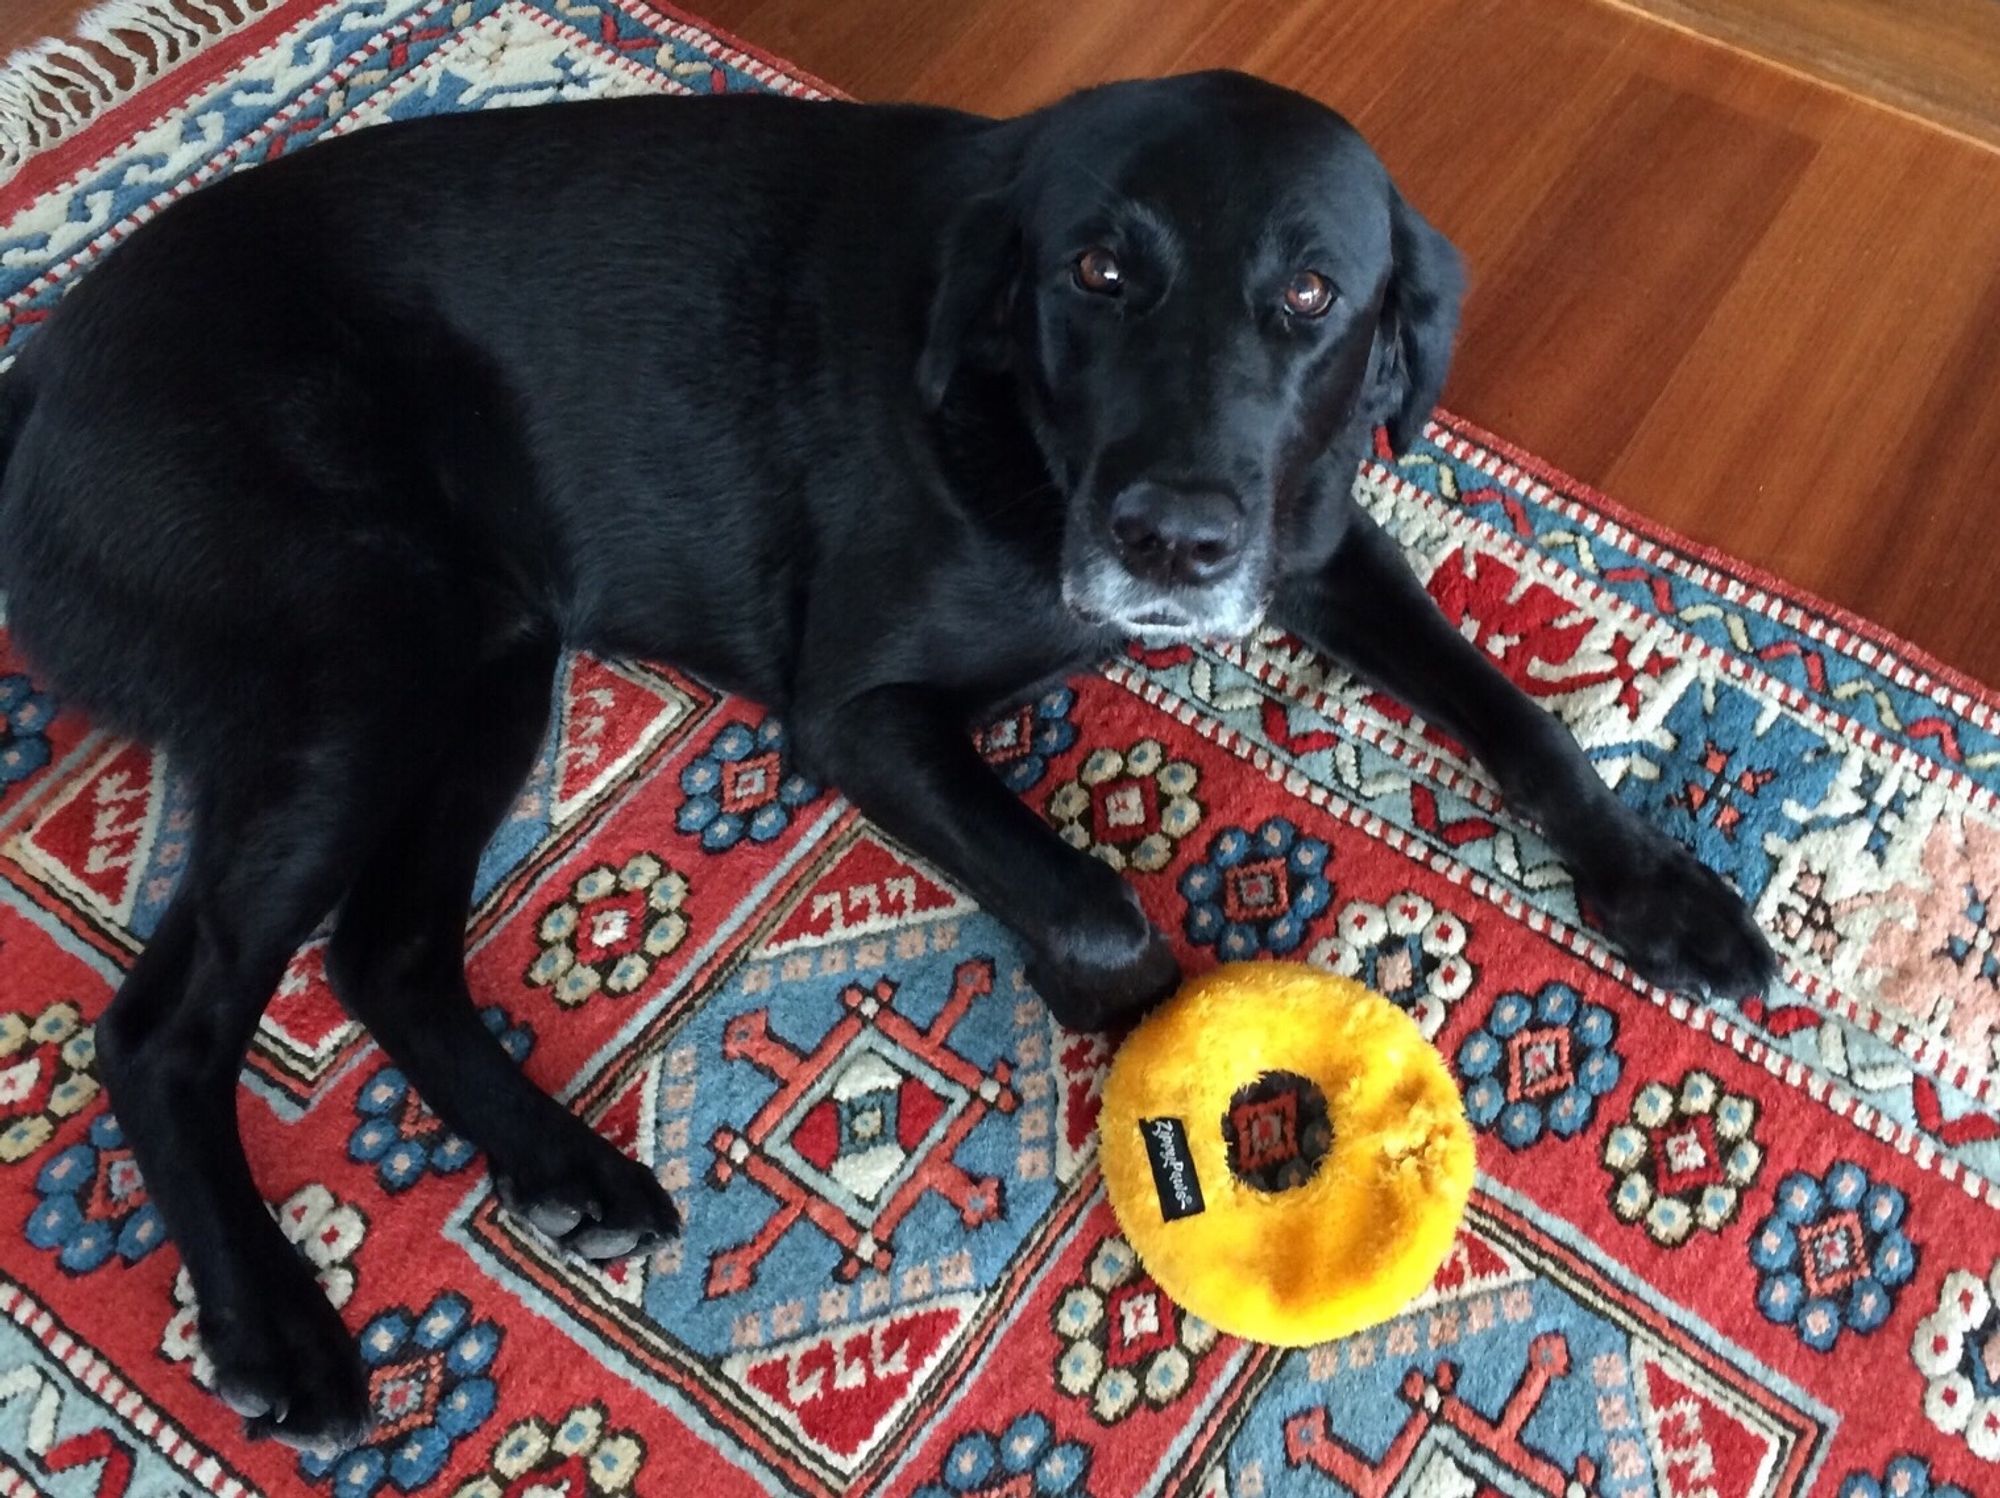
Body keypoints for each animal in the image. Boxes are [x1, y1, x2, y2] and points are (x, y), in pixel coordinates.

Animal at [0, 73, 1768, 1448]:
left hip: (489, 652)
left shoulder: (1322, 545)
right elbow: (1100, 902)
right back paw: (274, 1322)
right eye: (1099, 268)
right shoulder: (853, 708)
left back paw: (564, 1163)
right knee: (163, 1023)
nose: (1175, 543)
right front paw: (1142, 1015)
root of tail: (45, 363)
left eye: (1314, 296)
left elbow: (1523, 715)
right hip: (365, 662)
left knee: (386, 951)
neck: (1025, 434)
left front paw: (1662, 889)